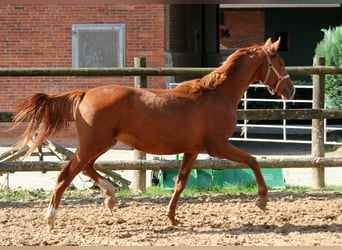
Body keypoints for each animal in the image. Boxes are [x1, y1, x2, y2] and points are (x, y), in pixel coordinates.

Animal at [13, 38, 296, 231]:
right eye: (280, 62)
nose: (291, 90)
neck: (215, 95)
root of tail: (84, 94)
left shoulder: (192, 150)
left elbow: (181, 183)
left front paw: (171, 217)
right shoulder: (217, 146)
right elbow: (253, 161)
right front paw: (262, 200)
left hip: (101, 143)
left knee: (88, 168)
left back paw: (111, 197)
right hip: (95, 143)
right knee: (66, 174)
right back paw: (51, 219)